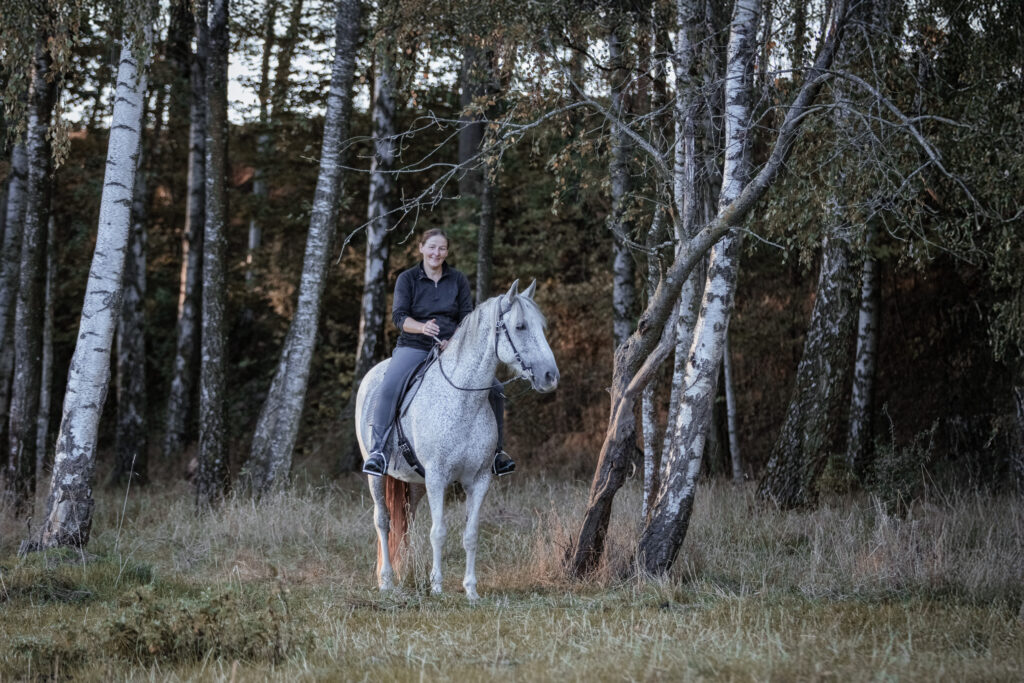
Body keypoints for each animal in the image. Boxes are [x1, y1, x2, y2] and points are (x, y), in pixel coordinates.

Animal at [355, 279, 559, 600]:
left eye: (541, 326)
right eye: (521, 326)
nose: (550, 376)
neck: (463, 399)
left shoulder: (478, 480)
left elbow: (471, 534)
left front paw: (470, 589)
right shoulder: (438, 477)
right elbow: (438, 532)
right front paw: (438, 586)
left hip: (415, 483)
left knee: (406, 524)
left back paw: (408, 574)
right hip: (377, 475)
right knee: (383, 522)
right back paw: (387, 581)